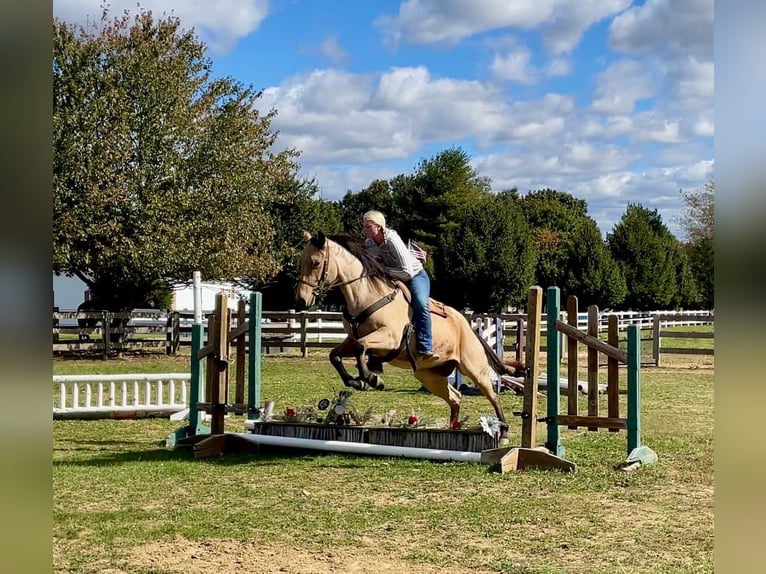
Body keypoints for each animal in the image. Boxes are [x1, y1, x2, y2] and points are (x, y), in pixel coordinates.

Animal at [296, 232, 528, 444]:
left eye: (315, 263)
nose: (301, 301)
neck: (365, 295)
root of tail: (467, 327)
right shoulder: (351, 340)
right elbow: (335, 355)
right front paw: (357, 381)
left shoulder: (388, 338)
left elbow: (362, 348)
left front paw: (372, 378)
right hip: (429, 376)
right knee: (455, 397)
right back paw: (452, 429)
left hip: (474, 369)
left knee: (492, 395)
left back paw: (503, 432)